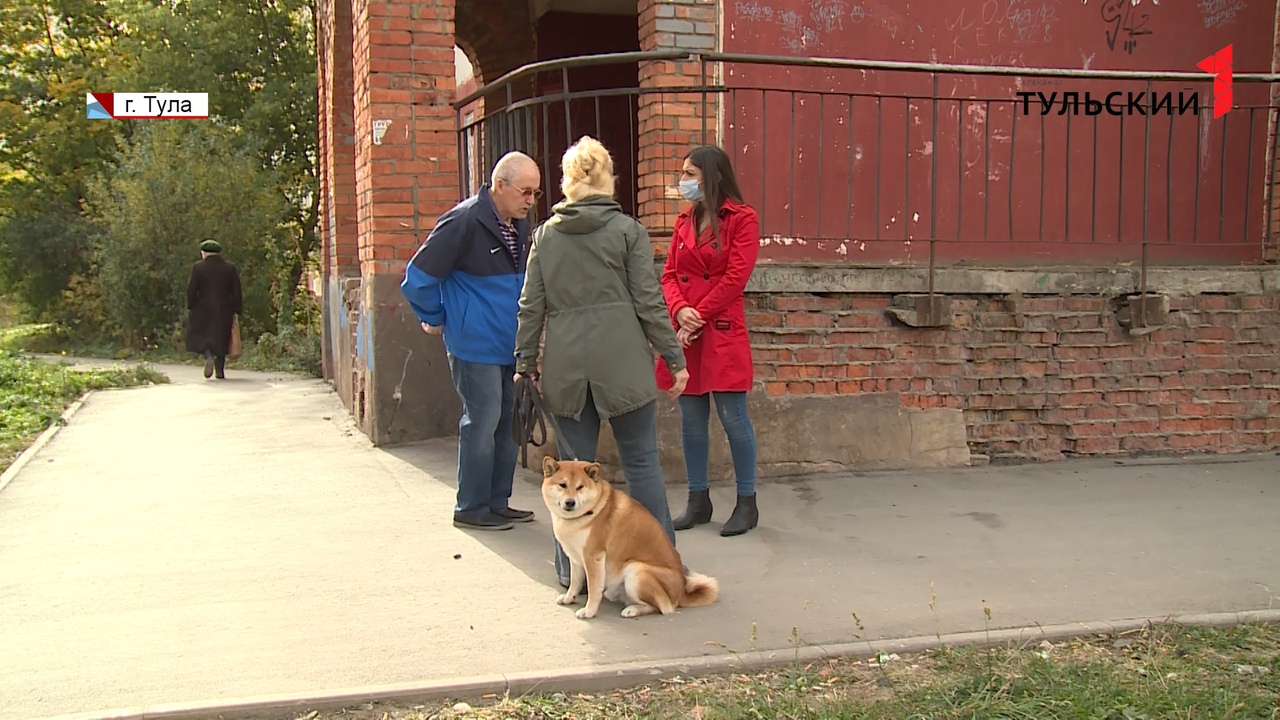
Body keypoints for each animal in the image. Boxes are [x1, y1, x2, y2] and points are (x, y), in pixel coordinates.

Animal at [540, 453, 721, 617]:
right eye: (562, 485)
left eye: (580, 487)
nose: (570, 502)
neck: (588, 512)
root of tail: (681, 592)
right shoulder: (576, 557)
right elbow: (575, 582)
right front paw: (569, 598)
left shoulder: (594, 557)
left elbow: (593, 589)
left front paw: (589, 611)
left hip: (635, 570)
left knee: (664, 607)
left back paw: (633, 610)